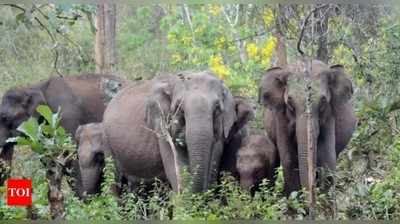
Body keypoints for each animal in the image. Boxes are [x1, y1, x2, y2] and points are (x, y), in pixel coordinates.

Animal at [258, 59, 358, 194]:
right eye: (290, 101)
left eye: (323, 100)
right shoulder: (281, 117)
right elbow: (289, 159)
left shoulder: (329, 114)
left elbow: (326, 156)